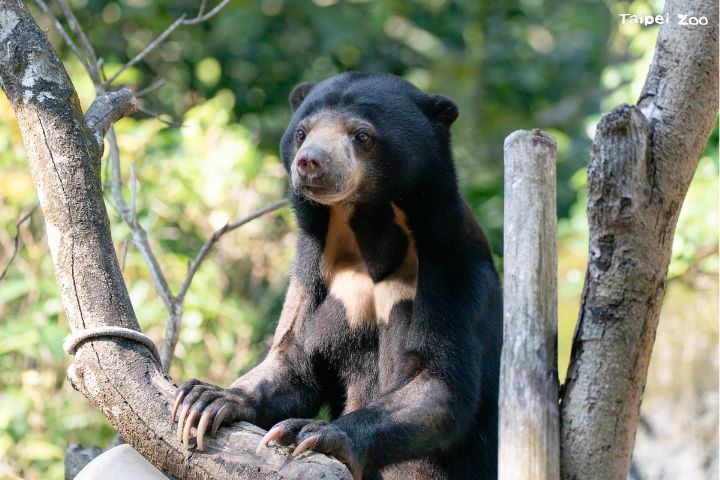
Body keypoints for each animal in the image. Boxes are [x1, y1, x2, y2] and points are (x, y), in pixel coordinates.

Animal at [172, 72, 502, 480]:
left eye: (361, 135)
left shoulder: (450, 265)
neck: (368, 224)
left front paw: (312, 432)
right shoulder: (312, 264)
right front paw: (207, 399)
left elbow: (439, 382)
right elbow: (296, 358)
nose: (309, 162)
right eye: (302, 132)